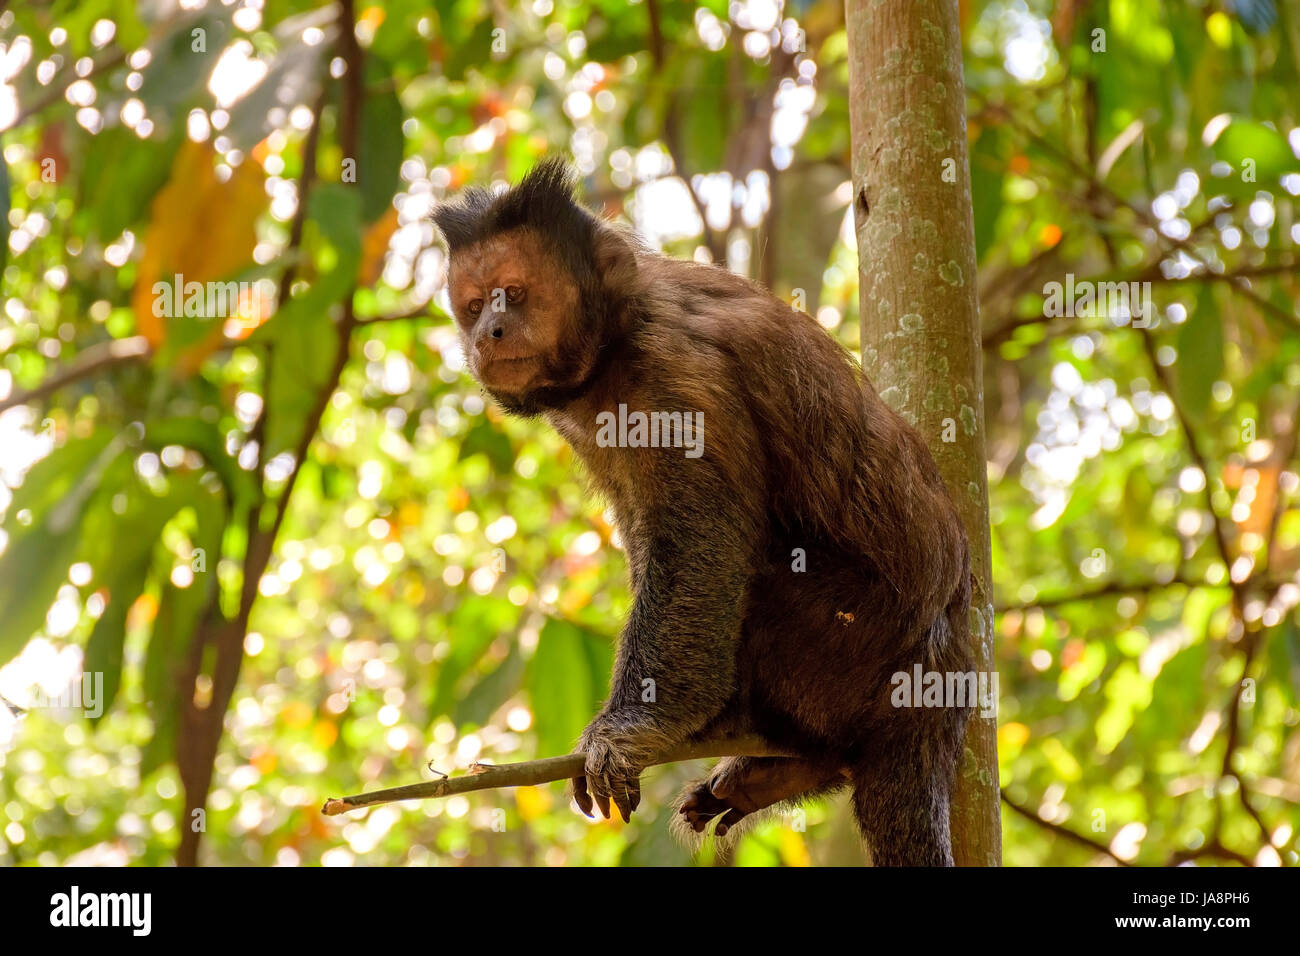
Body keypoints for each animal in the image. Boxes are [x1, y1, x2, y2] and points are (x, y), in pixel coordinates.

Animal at [431, 158, 972, 868]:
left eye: (514, 294)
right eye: (473, 306)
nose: (487, 333)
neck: (617, 339)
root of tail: (944, 672)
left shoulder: (675, 374)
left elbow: (699, 548)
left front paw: (629, 729)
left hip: (861, 643)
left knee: (764, 575)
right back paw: (786, 770)